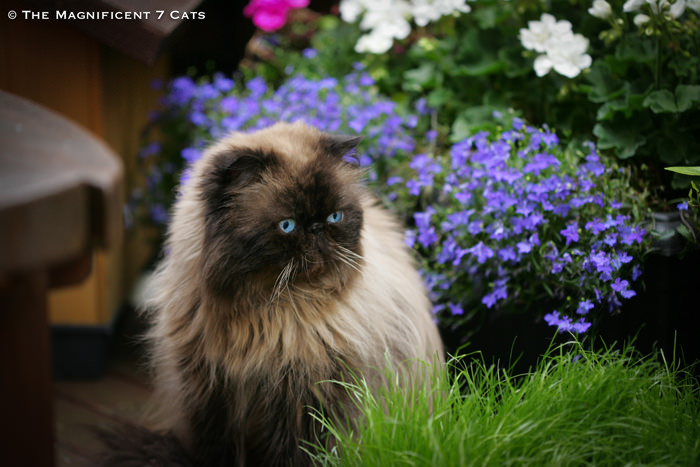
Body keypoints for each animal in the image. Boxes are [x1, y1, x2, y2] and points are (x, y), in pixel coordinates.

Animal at [98, 121, 442, 467]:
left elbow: (293, 455)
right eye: (287, 225)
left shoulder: (301, 399)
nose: (317, 229)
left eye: (335, 217)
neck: (267, 313)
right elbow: (215, 452)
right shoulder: (210, 393)